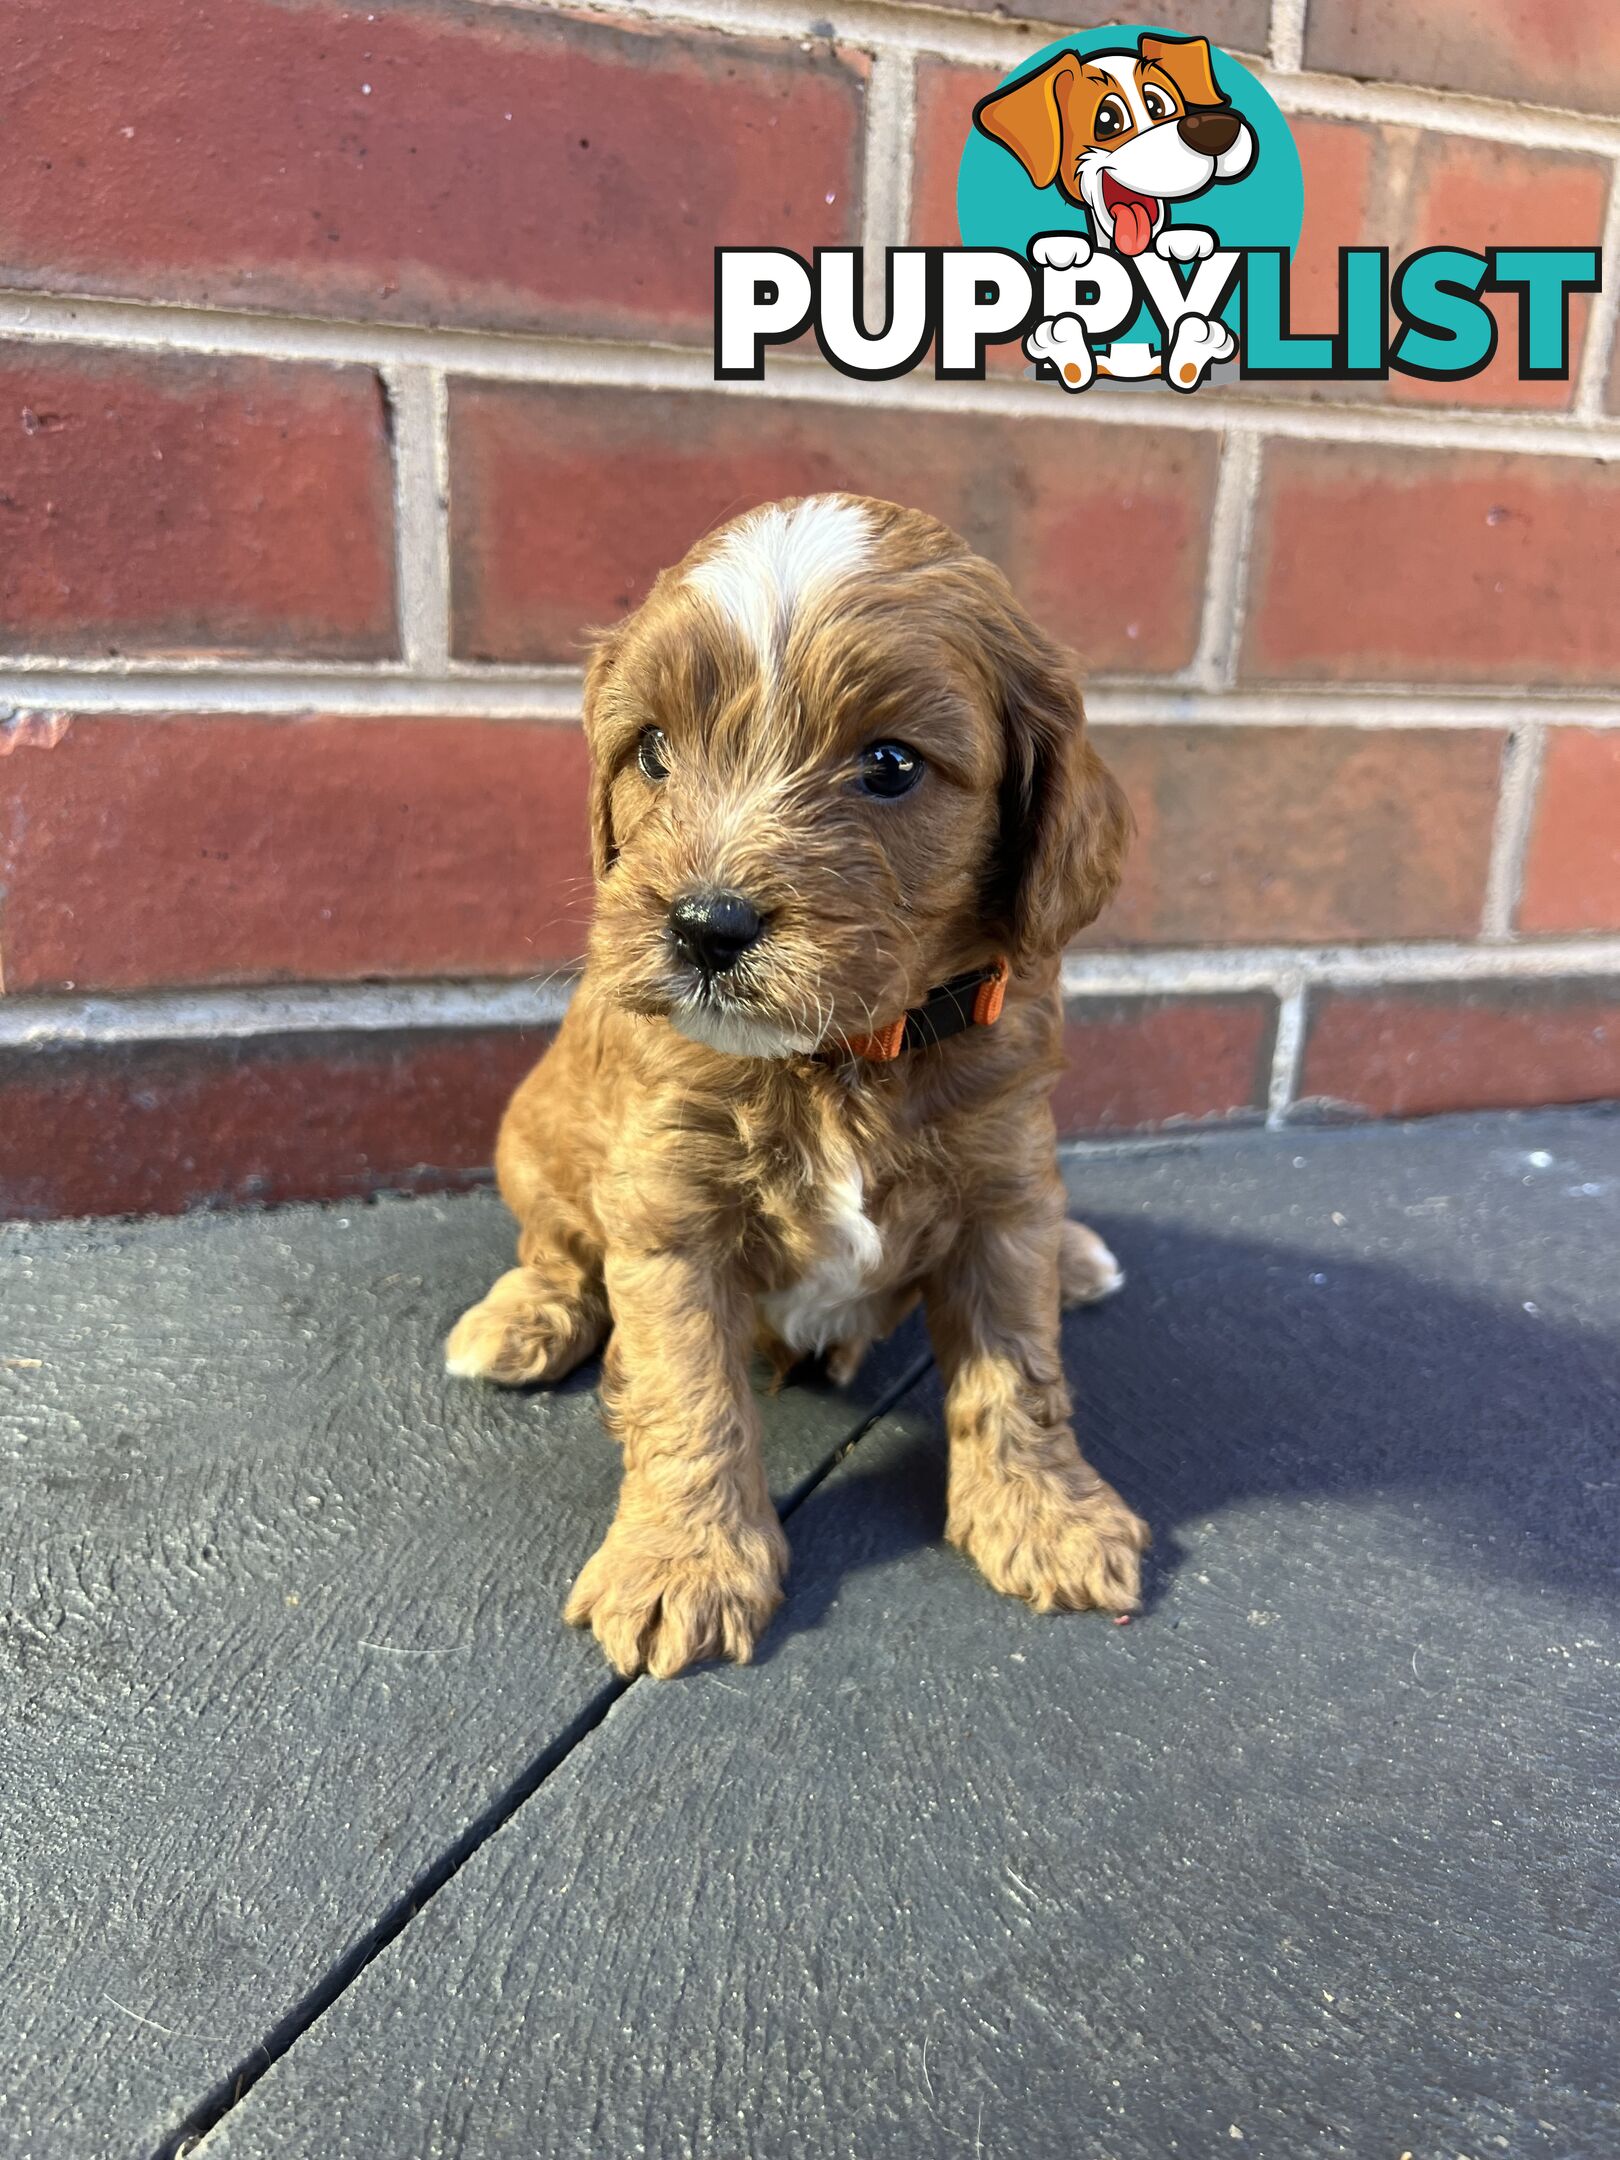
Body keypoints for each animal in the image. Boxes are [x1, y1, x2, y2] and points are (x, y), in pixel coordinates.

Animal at [451, 496, 1149, 1676]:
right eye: (651, 750)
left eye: (892, 765)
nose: (704, 926)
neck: (842, 1060)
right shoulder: (667, 1216)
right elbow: (688, 1393)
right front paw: (681, 1565)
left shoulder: (1005, 1192)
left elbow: (1020, 1372)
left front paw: (1050, 1518)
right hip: (532, 1135)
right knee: (555, 1245)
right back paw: (519, 1319)